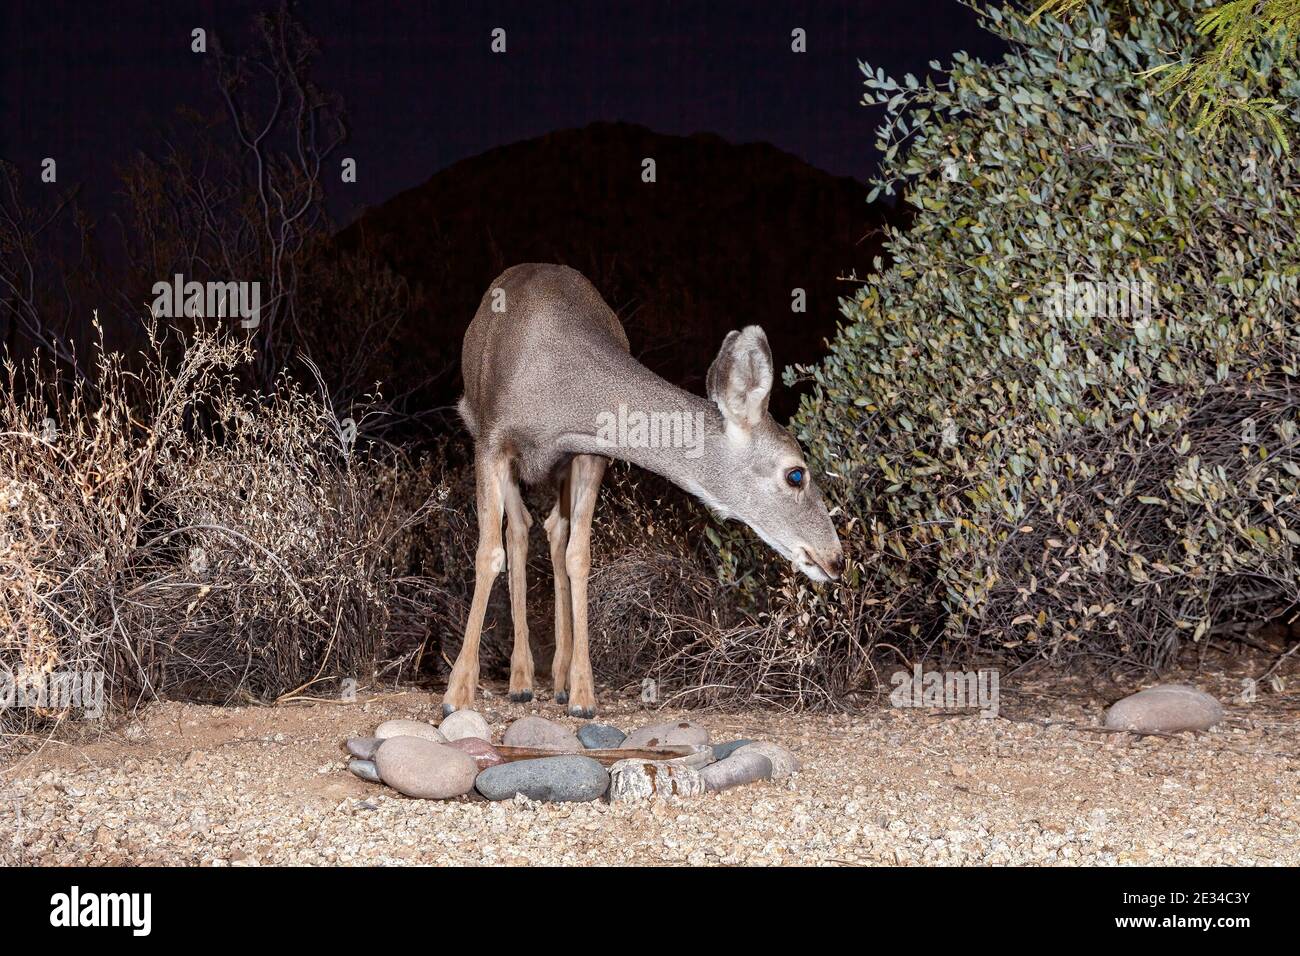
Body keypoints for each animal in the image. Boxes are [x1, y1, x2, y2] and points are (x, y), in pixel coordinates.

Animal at [444, 263, 844, 718]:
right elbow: (488, 554)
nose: (835, 559)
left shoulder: (592, 452)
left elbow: (579, 557)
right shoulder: (490, 441)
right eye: (796, 475)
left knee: (552, 531)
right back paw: (521, 680)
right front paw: (458, 691)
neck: (561, 398)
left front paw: (583, 695)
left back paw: (557, 678)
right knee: (517, 531)